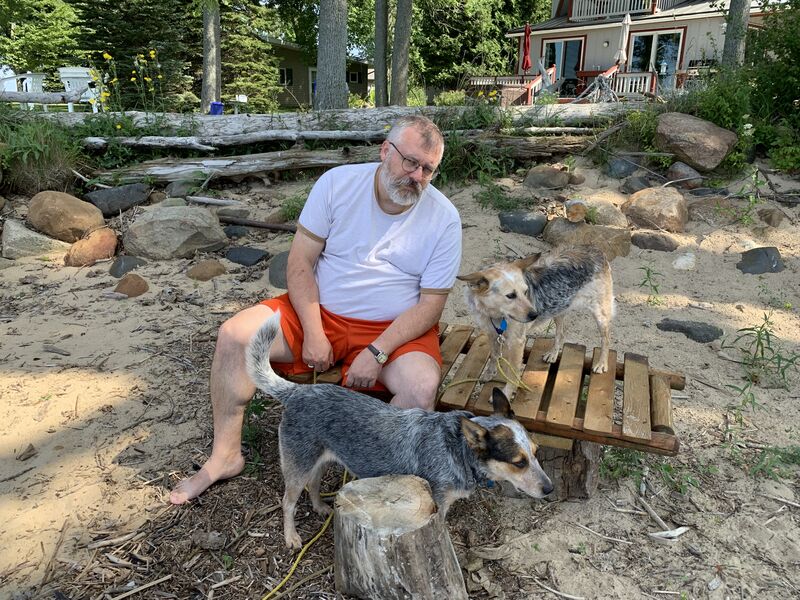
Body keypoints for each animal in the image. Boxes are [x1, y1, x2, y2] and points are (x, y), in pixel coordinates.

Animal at [245, 312, 554, 549]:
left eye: (536, 452)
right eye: (519, 462)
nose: (550, 488)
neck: (456, 449)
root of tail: (297, 391)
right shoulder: (437, 504)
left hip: (319, 459)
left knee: (313, 483)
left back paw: (321, 507)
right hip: (297, 464)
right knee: (287, 501)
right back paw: (291, 536)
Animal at [458, 245, 615, 396]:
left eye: (526, 291)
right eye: (510, 295)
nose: (535, 314)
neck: (495, 314)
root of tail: (596, 250)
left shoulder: (517, 342)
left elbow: (513, 374)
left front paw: (506, 394)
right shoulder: (491, 333)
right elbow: (494, 356)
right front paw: (489, 374)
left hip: (600, 313)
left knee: (606, 339)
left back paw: (602, 363)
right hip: (558, 306)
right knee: (562, 332)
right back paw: (553, 353)